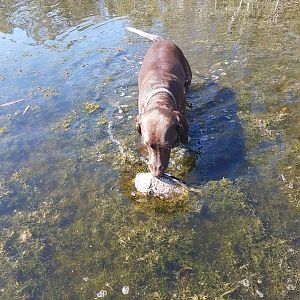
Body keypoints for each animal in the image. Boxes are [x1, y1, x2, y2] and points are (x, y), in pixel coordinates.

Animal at [127, 26, 192, 178]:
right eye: (147, 145)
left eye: (167, 146)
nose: (156, 174)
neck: (160, 96)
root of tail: (161, 40)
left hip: (188, 74)